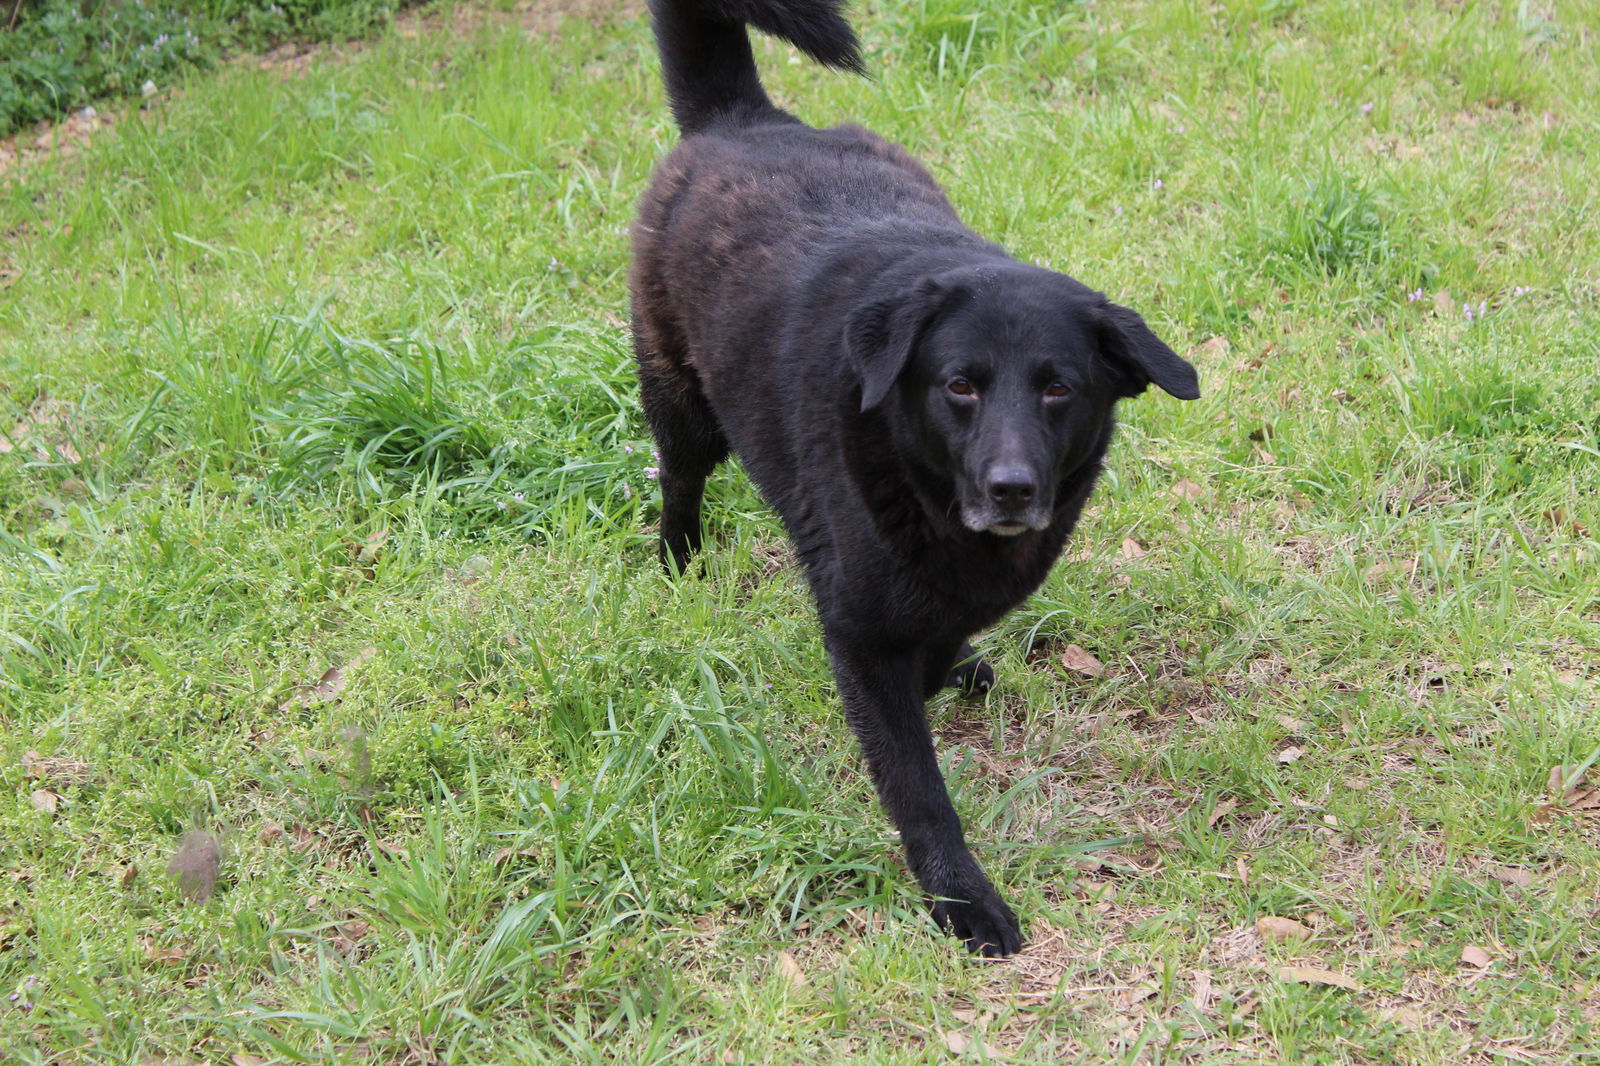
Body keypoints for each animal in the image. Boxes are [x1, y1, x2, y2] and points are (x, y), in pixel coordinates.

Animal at [630, 0, 1196, 947]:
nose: (1012, 488)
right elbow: (917, 783)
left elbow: (935, 649)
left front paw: (956, 663)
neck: (921, 486)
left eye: (1059, 388)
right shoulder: (863, 631)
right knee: (679, 480)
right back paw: (679, 561)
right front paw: (962, 900)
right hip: (681, 399)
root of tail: (742, 119)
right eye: (959, 384)